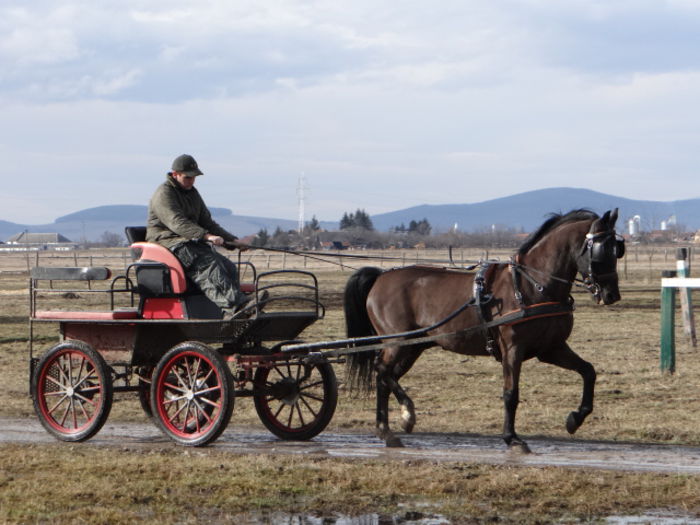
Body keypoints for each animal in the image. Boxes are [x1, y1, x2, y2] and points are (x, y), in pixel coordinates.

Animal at [344, 207, 624, 448]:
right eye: (601, 250)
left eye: (618, 249)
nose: (611, 294)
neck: (533, 285)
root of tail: (381, 276)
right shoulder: (513, 349)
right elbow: (511, 392)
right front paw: (511, 437)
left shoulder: (551, 349)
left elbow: (588, 372)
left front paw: (575, 418)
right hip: (397, 342)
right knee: (382, 371)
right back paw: (405, 415)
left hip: (414, 346)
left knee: (385, 377)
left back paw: (387, 429)